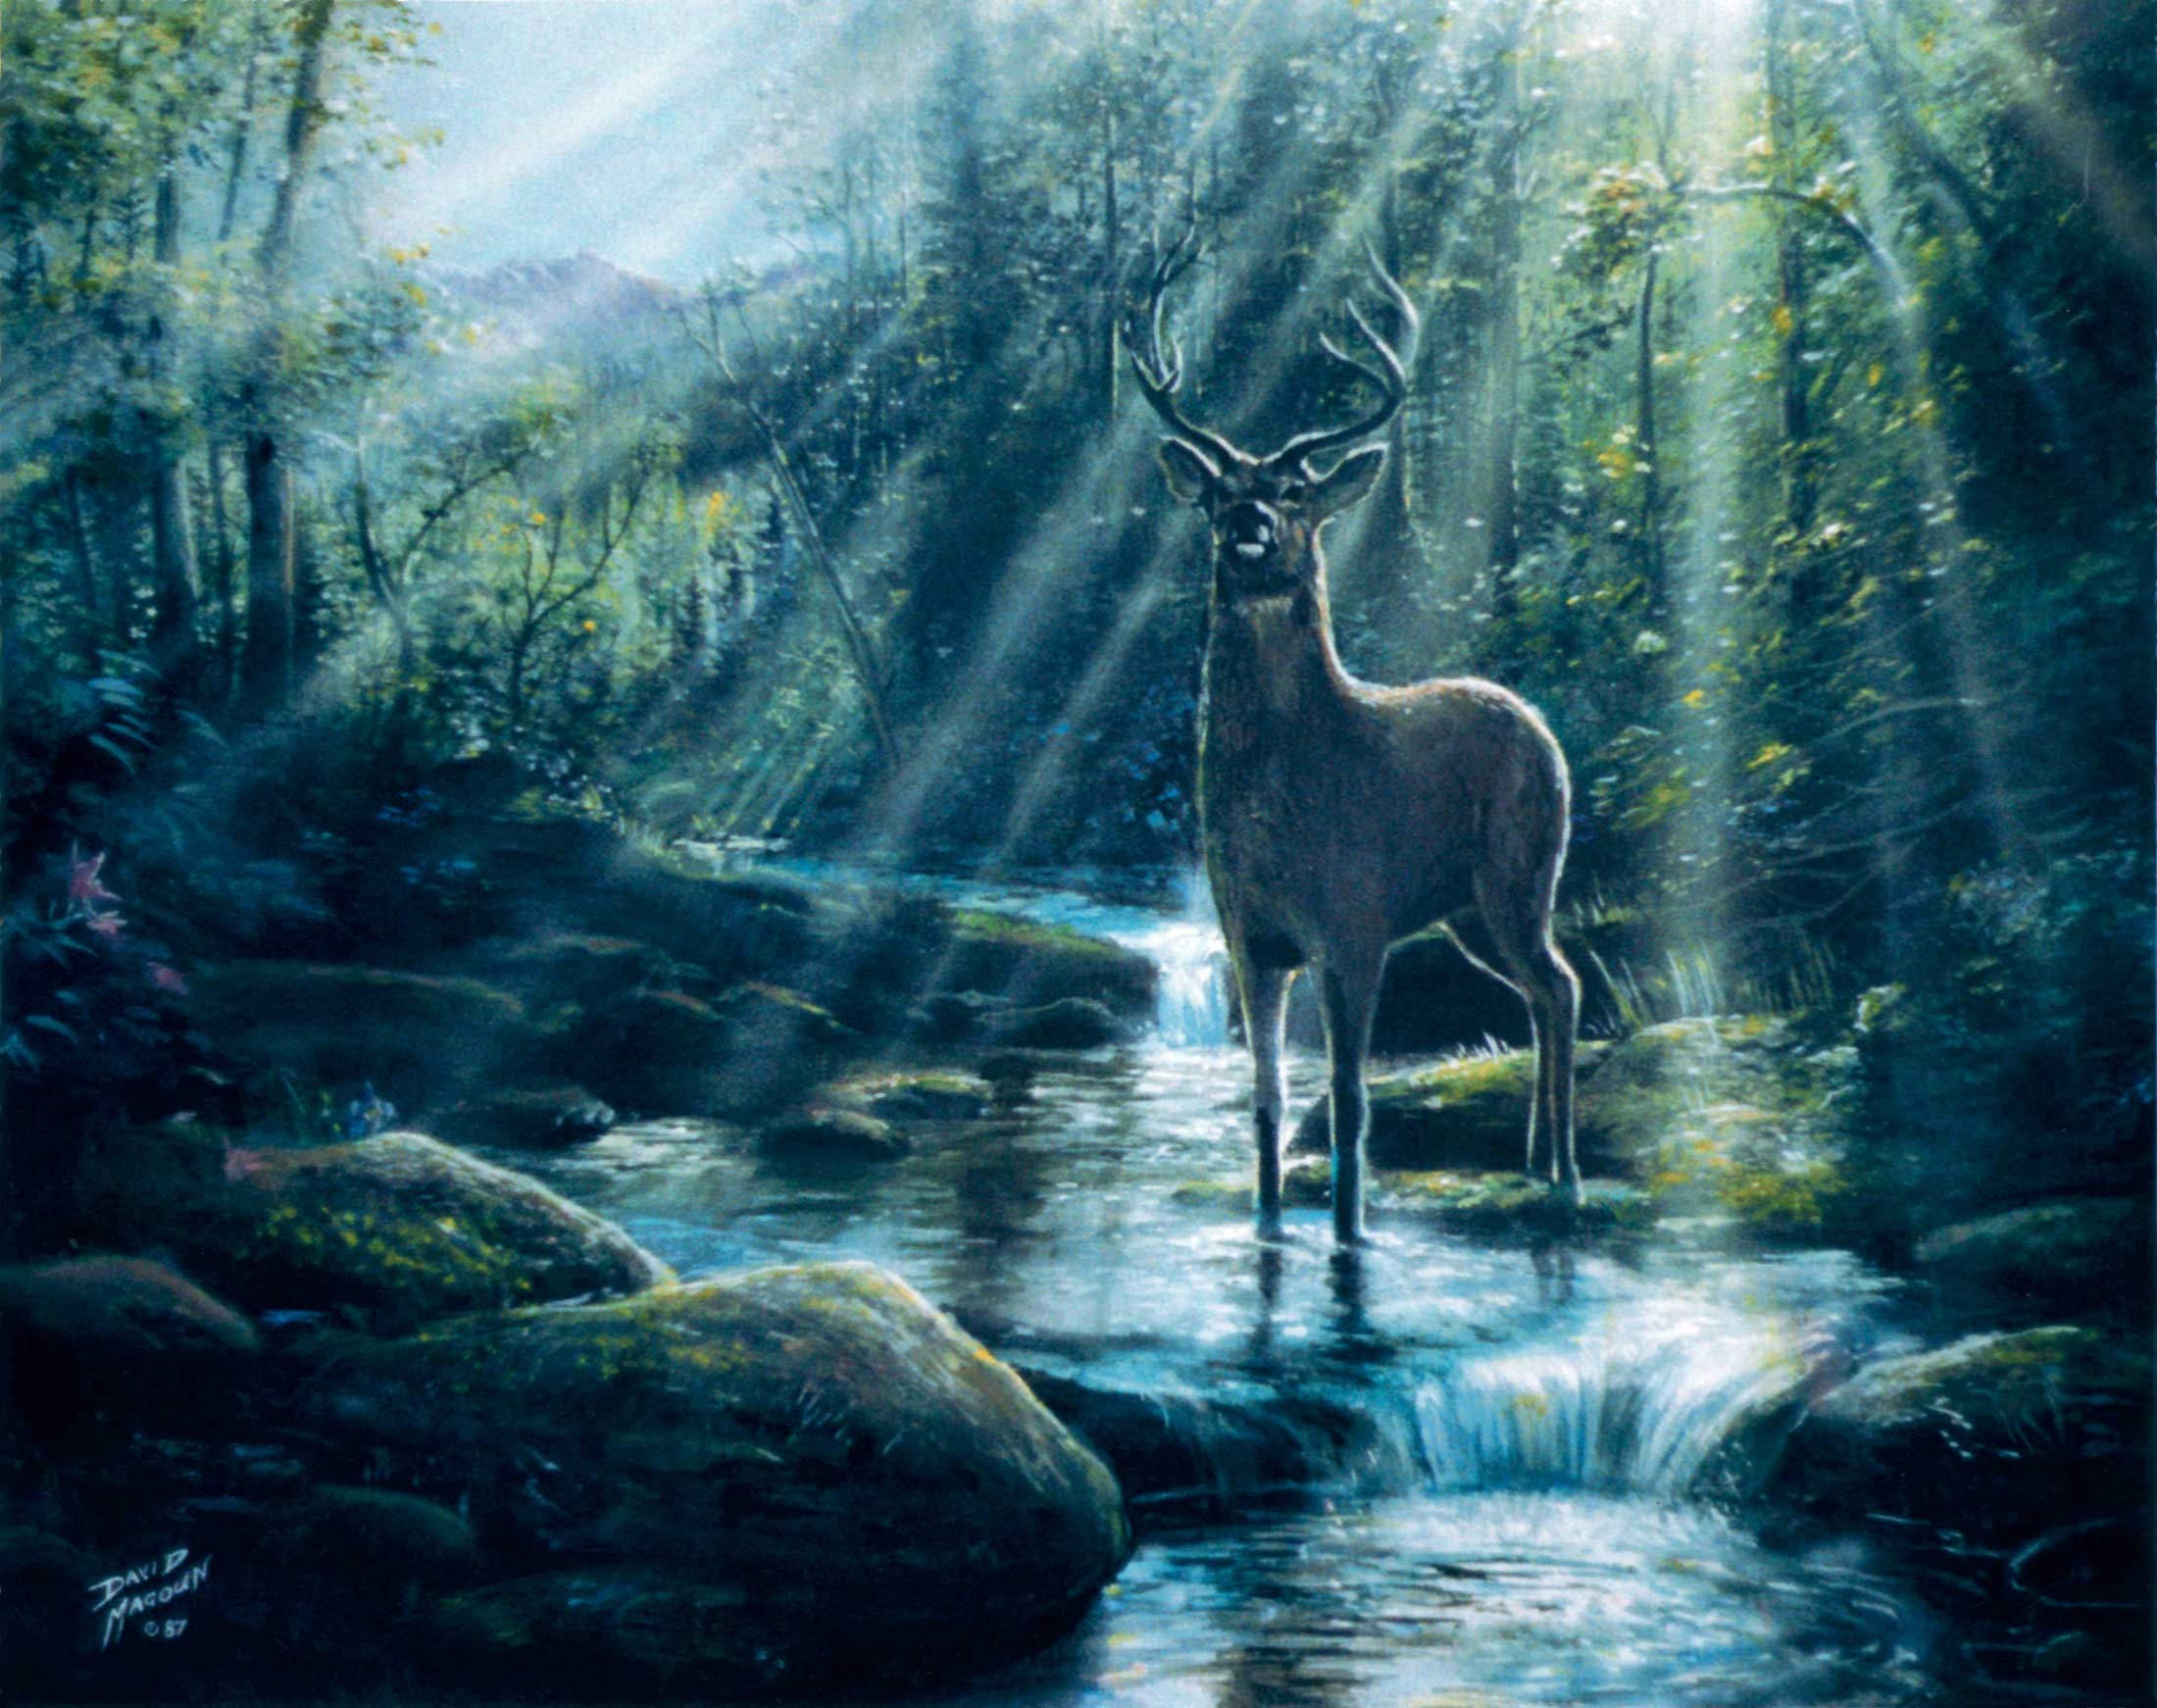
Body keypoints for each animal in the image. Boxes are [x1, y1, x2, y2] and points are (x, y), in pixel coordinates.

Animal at [1129, 232, 1582, 1244]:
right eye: (1219, 490)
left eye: (1295, 490)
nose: (1249, 524)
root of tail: (1537, 721)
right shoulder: (1250, 938)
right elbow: (1263, 1099)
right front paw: (1266, 1224)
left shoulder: (1356, 922)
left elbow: (1349, 1099)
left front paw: (1351, 1233)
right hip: (1469, 911)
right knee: (1544, 990)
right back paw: (1536, 1163)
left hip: (1519, 872)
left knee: (1564, 984)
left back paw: (1567, 1174)